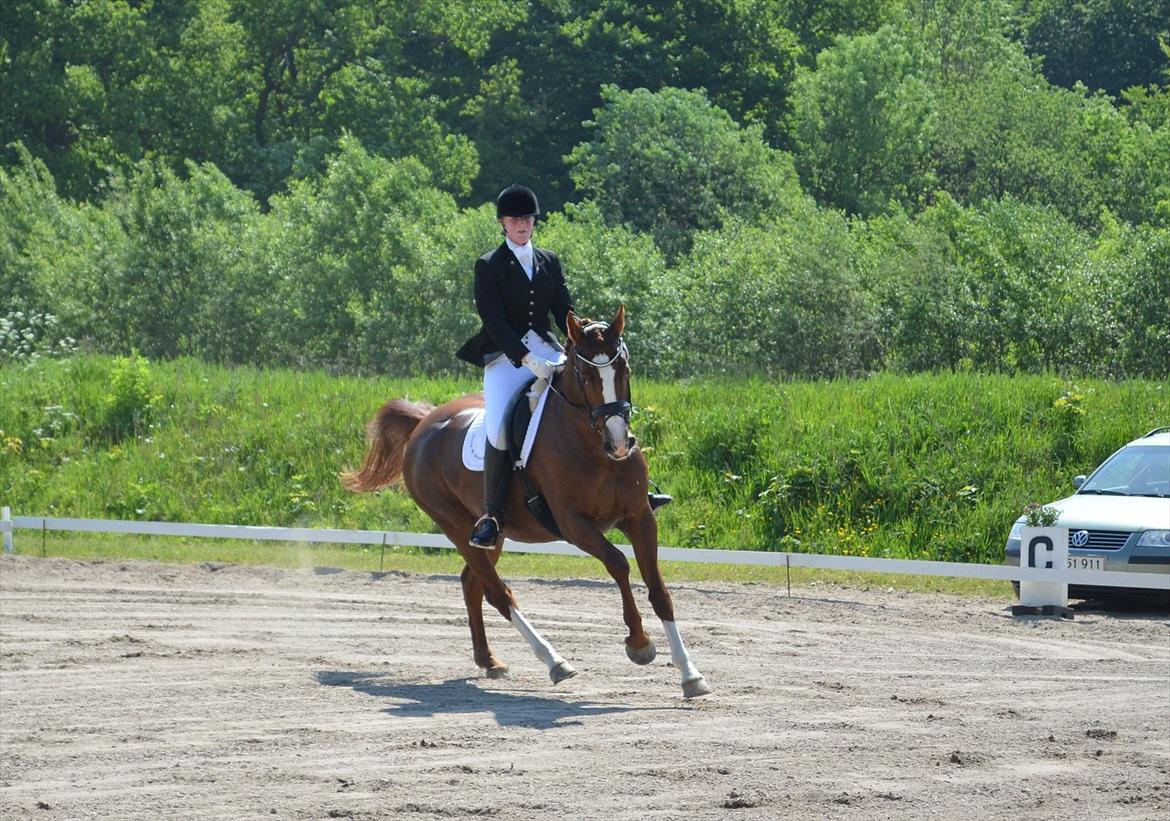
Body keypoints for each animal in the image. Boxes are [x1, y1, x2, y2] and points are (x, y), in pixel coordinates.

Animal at [343, 308, 711, 701]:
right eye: (584, 375)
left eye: (624, 368)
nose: (619, 443)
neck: (594, 449)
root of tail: (423, 423)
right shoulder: (573, 524)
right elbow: (618, 563)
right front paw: (639, 644)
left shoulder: (640, 518)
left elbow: (659, 590)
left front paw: (690, 675)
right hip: (454, 526)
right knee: (497, 592)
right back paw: (555, 662)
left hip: (492, 533)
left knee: (472, 583)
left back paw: (490, 661)